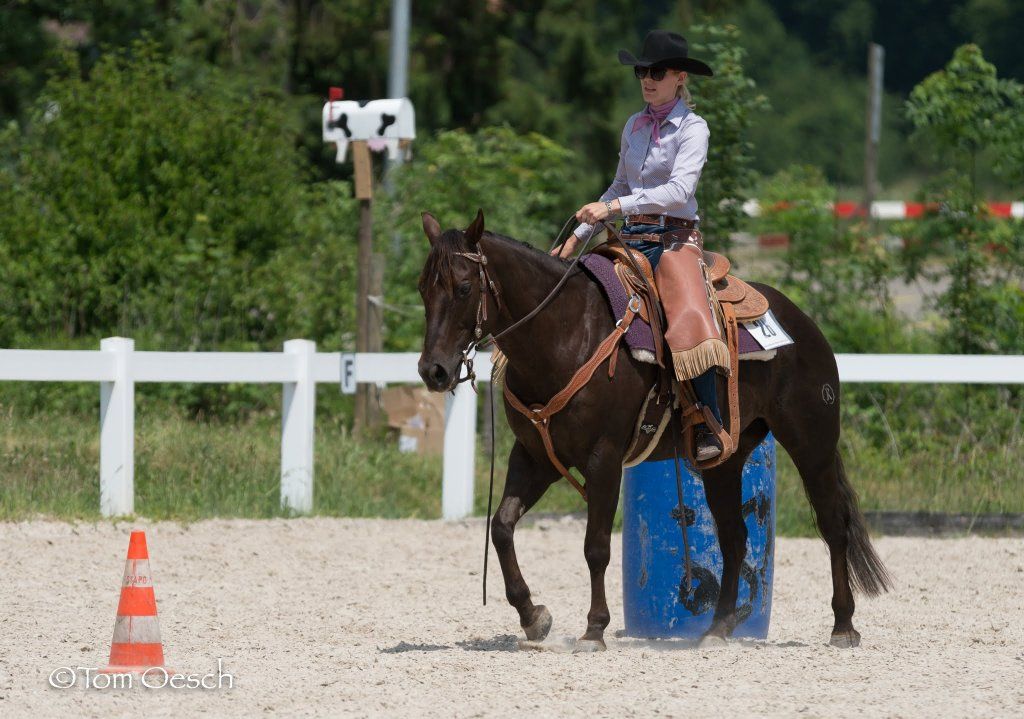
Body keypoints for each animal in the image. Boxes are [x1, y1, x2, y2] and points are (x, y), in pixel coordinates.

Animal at [416, 210, 892, 652]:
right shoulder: (535, 456)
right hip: (724, 461)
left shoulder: (604, 458)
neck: (565, 333)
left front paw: (594, 629)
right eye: (424, 289)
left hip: (812, 443)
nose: (433, 370)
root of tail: (804, 324)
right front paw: (534, 617)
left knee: (833, 525)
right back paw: (718, 629)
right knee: (735, 538)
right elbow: (501, 526)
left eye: (464, 288)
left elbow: (596, 546)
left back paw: (843, 626)